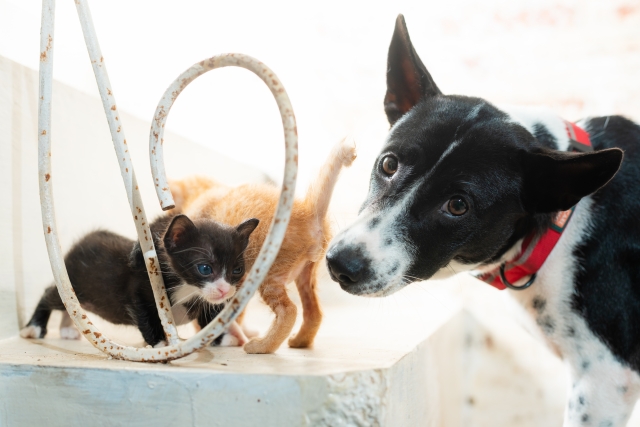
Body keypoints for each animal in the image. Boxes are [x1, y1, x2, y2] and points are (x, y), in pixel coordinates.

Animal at [20, 214, 260, 348]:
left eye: (237, 270)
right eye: (205, 268)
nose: (224, 290)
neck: (187, 288)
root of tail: (84, 239)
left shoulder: (204, 302)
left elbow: (210, 320)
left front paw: (227, 338)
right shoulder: (140, 289)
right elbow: (146, 316)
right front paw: (161, 344)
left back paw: (68, 329)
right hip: (75, 283)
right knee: (51, 294)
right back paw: (33, 328)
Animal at [172, 140, 358, 354]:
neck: (203, 192)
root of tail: (308, 213)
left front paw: (206, 335)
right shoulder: (238, 281)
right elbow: (236, 309)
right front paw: (237, 330)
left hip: (269, 274)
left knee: (289, 310)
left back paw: (261, 346)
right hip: (305, 273)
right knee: (314, 312)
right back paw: (299, 341)